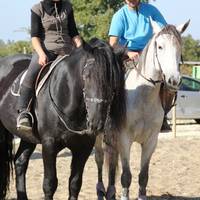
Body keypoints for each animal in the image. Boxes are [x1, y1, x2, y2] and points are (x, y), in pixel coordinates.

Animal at [0, 38, 126, 200]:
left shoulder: (83, 148)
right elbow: (49, 184)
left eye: (114, 81)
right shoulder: (49, 144)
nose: (97, 123)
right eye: (87, 75)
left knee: (20, 162)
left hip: (28, 136)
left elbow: (75, 183)